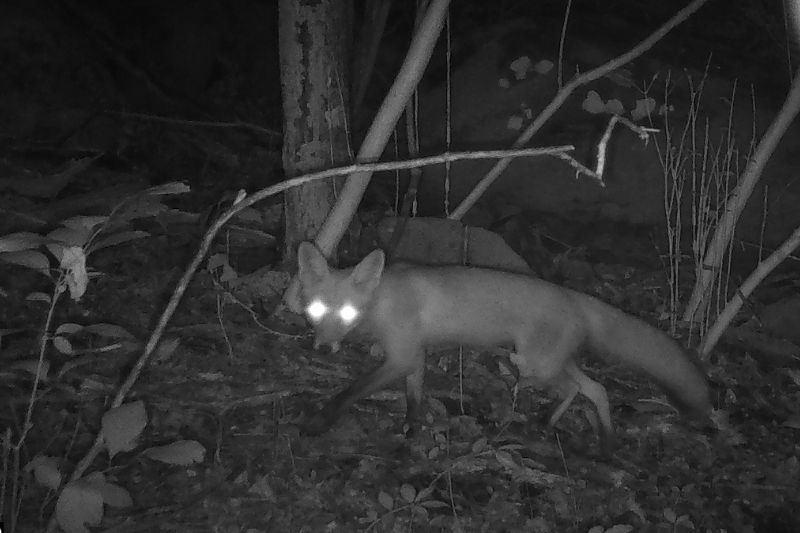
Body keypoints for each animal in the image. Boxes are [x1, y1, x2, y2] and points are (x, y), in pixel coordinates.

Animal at [295, 241, 711, 443]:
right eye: (316, 309)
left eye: (347, 312)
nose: (323, 349)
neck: (383, 301)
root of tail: (572, 295)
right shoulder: (413, 356)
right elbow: (414, 397)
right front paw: (411, 430)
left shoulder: (401, 355)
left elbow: (350, 392)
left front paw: (319, 423)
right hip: (550, 362)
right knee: (594, 389)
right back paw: (601, 438)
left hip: (533, 363)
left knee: (578, 388)